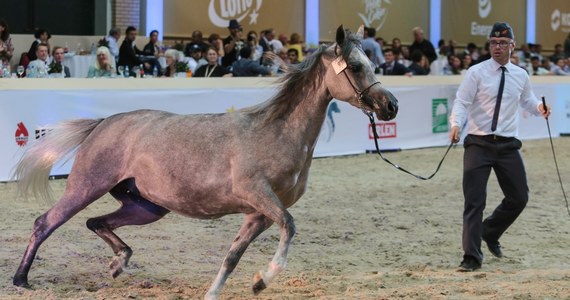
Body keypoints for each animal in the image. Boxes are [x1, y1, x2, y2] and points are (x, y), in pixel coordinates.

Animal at [12, 24, 394, 298]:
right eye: (356, 66)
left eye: (372, 64)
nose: (391, 105)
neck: (276, 132)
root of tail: (104, 122)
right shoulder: (259, 196)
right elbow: (289, 226)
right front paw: (263, 279)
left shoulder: (258, 213)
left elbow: (233, 255)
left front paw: (222, 290)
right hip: (86, 186)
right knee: (45, 223)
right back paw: (21, 279)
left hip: (146, 206)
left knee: (96, 223)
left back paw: (118, 263)